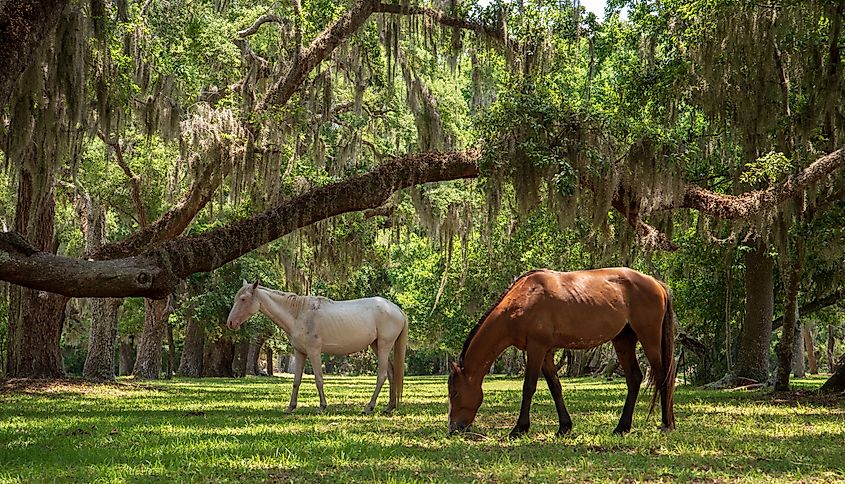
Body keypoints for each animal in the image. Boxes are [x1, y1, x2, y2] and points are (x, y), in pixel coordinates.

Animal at [227, 280, 408, 414]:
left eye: (243, 299)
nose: (230, 323)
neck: (299, 313)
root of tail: (397, 310)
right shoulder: (300, 352)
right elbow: (296, 381)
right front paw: (290, 408)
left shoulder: (313, 351)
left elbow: (319, 379)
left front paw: (322, 407)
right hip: (376, 346)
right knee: (391, 373)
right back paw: (389, 408)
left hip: (384, 346)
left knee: (382, 375)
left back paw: (369, 407)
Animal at [448, 268, 676, 437]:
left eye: (455, 393)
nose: (453, 429)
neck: (522, 300)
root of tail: (656, 283)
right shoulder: (546, 352)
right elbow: (555, 387)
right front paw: (564, 427)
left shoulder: (536, 348)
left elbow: (528, 387)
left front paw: (519, 429)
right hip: (623, 340)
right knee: (634, 378)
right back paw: (622, 428)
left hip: (649, 338)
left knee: (663, 375)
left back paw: (666, 424)